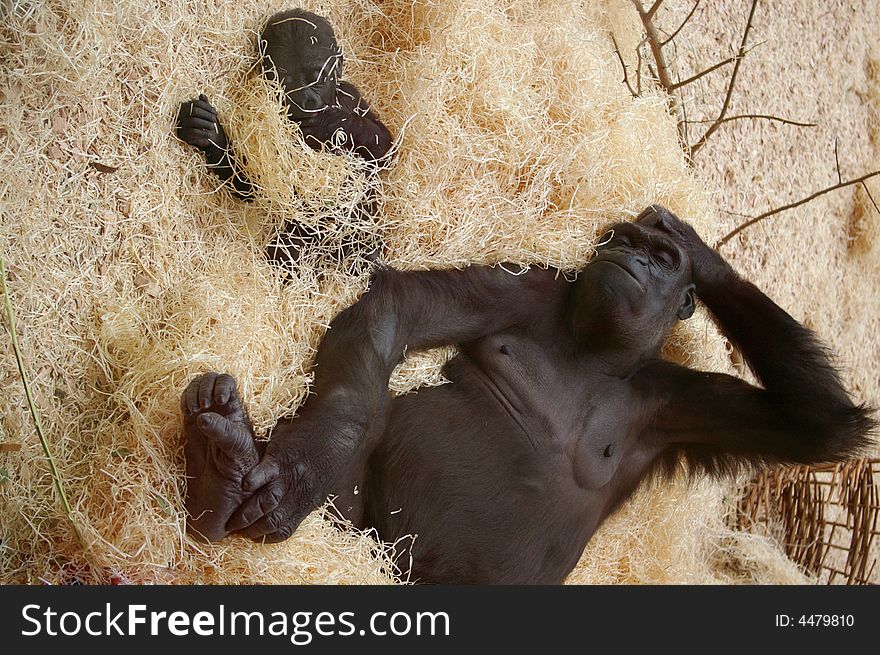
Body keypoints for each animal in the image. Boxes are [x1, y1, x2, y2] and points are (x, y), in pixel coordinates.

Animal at [174, 7, 392, 266]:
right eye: (286, 82)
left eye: (316, 78)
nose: (307, 100)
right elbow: (251, 186)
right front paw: (206, 131)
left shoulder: (351, 94)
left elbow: (385, 149)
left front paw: (330, 123)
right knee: (288, 249)